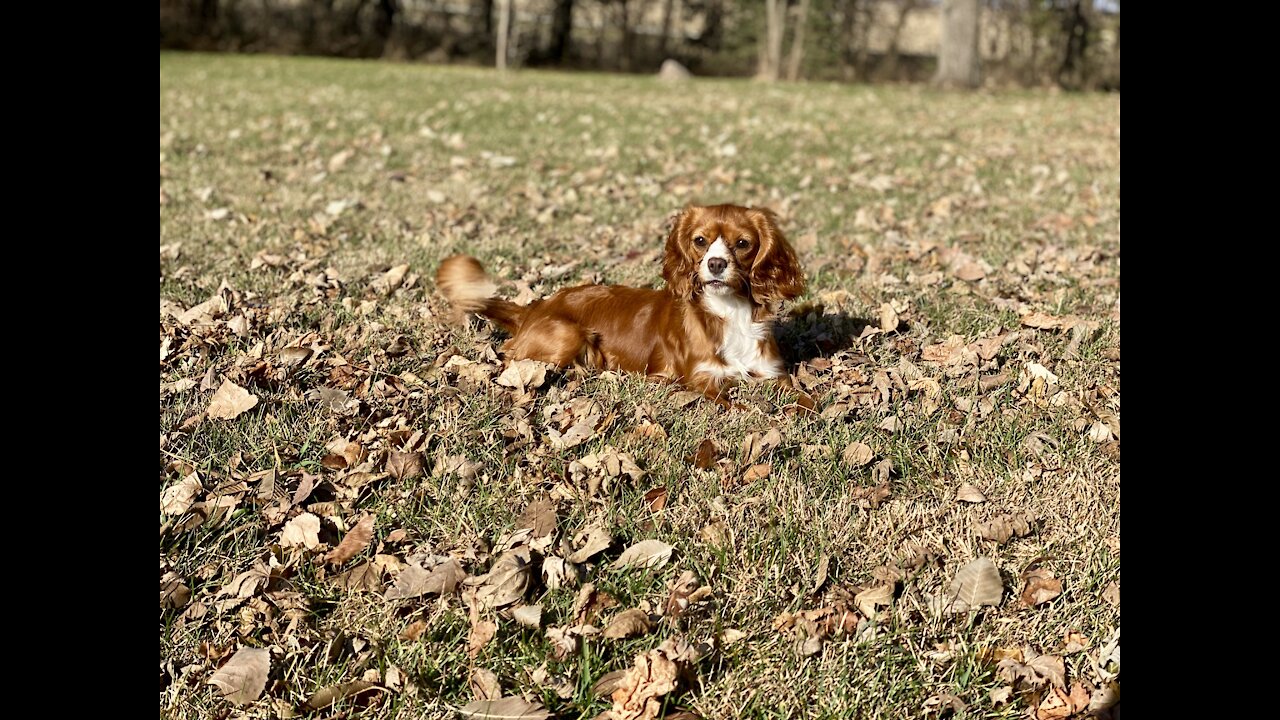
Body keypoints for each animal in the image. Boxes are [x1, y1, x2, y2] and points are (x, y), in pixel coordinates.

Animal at [435, 203, 814, 409]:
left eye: (743, 244)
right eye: (700, 241)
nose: (716, 264)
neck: (728, 310)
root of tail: (534, 308)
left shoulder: (773, 373)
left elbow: (807, 400)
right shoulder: (700, 380)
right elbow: (737, 406)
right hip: (566, 333)